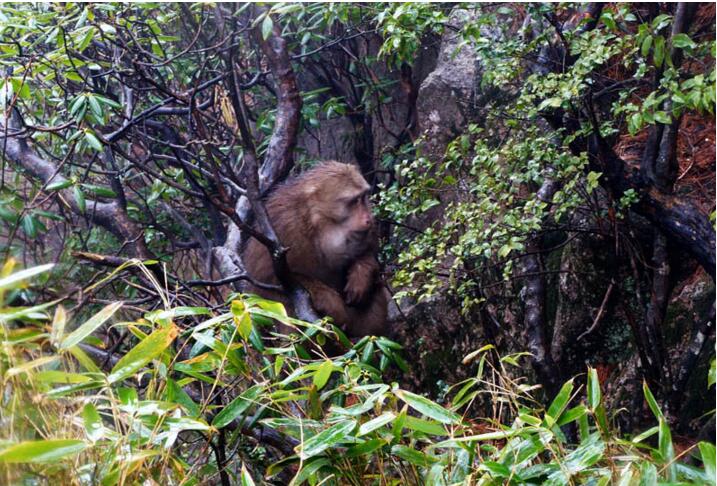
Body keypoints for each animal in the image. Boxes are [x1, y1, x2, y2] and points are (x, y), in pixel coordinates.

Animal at [242, 159, 388, 338]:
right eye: (354, 201)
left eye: (363, 197)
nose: (368, 219)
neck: (316, 223)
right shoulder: (282, 226)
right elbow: (268, 282)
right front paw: (328, 300)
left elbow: (369, 251)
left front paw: (361, 275)